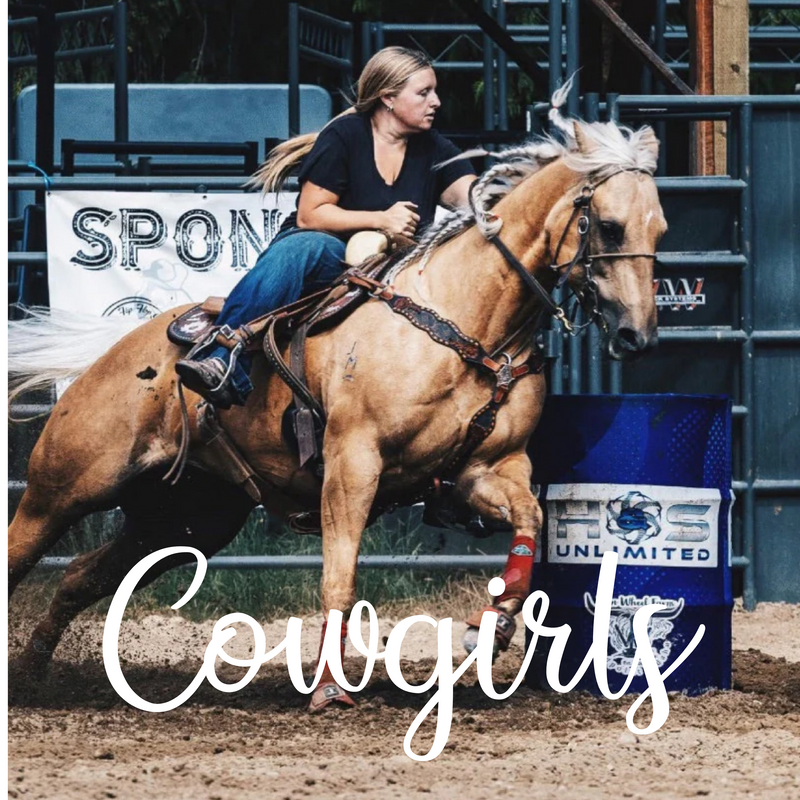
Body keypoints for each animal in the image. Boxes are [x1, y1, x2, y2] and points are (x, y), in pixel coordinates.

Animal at [5, 103, 666, 711]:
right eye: (608, 226)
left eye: (659, 229)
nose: (637, 335)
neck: (468, 321)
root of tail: (118, 350)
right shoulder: (353, 462)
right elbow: (340, 576)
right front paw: (327, 686)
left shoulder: (490, 469)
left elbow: (532, 520)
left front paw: (494, 626)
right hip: (65, 485)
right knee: (22, 552)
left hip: (182, 517)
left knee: (79, 575)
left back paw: (34, 675)